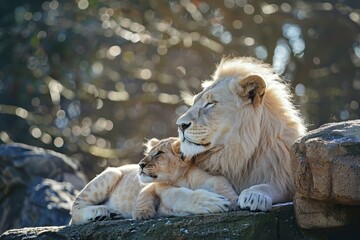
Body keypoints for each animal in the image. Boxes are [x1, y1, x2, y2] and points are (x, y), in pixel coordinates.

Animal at [176, 57, 306, 211]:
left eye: (210, 103)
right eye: (194, 102)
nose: (180, 125)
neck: (234, 154)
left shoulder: (285, 179)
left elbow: (272, 187)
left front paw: (253, 196)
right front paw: (209, 201)